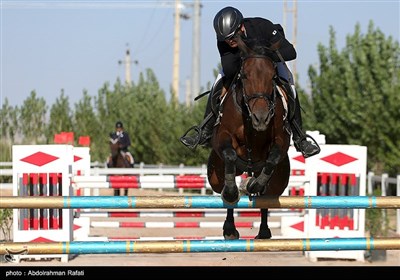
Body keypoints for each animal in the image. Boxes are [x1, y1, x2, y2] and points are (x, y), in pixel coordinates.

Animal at [206, 38, 290, 240]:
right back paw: (229, 229)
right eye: (244, 76)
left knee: (267, 198)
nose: (261, 118)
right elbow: (229, 155)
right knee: (224, 189)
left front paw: (252, 184)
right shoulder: (222, 136)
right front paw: (231, 192)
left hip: (279, 181)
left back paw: (264, 231)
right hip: (215, 174)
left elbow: (272, 159)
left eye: (273, 77)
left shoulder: (281, 140)